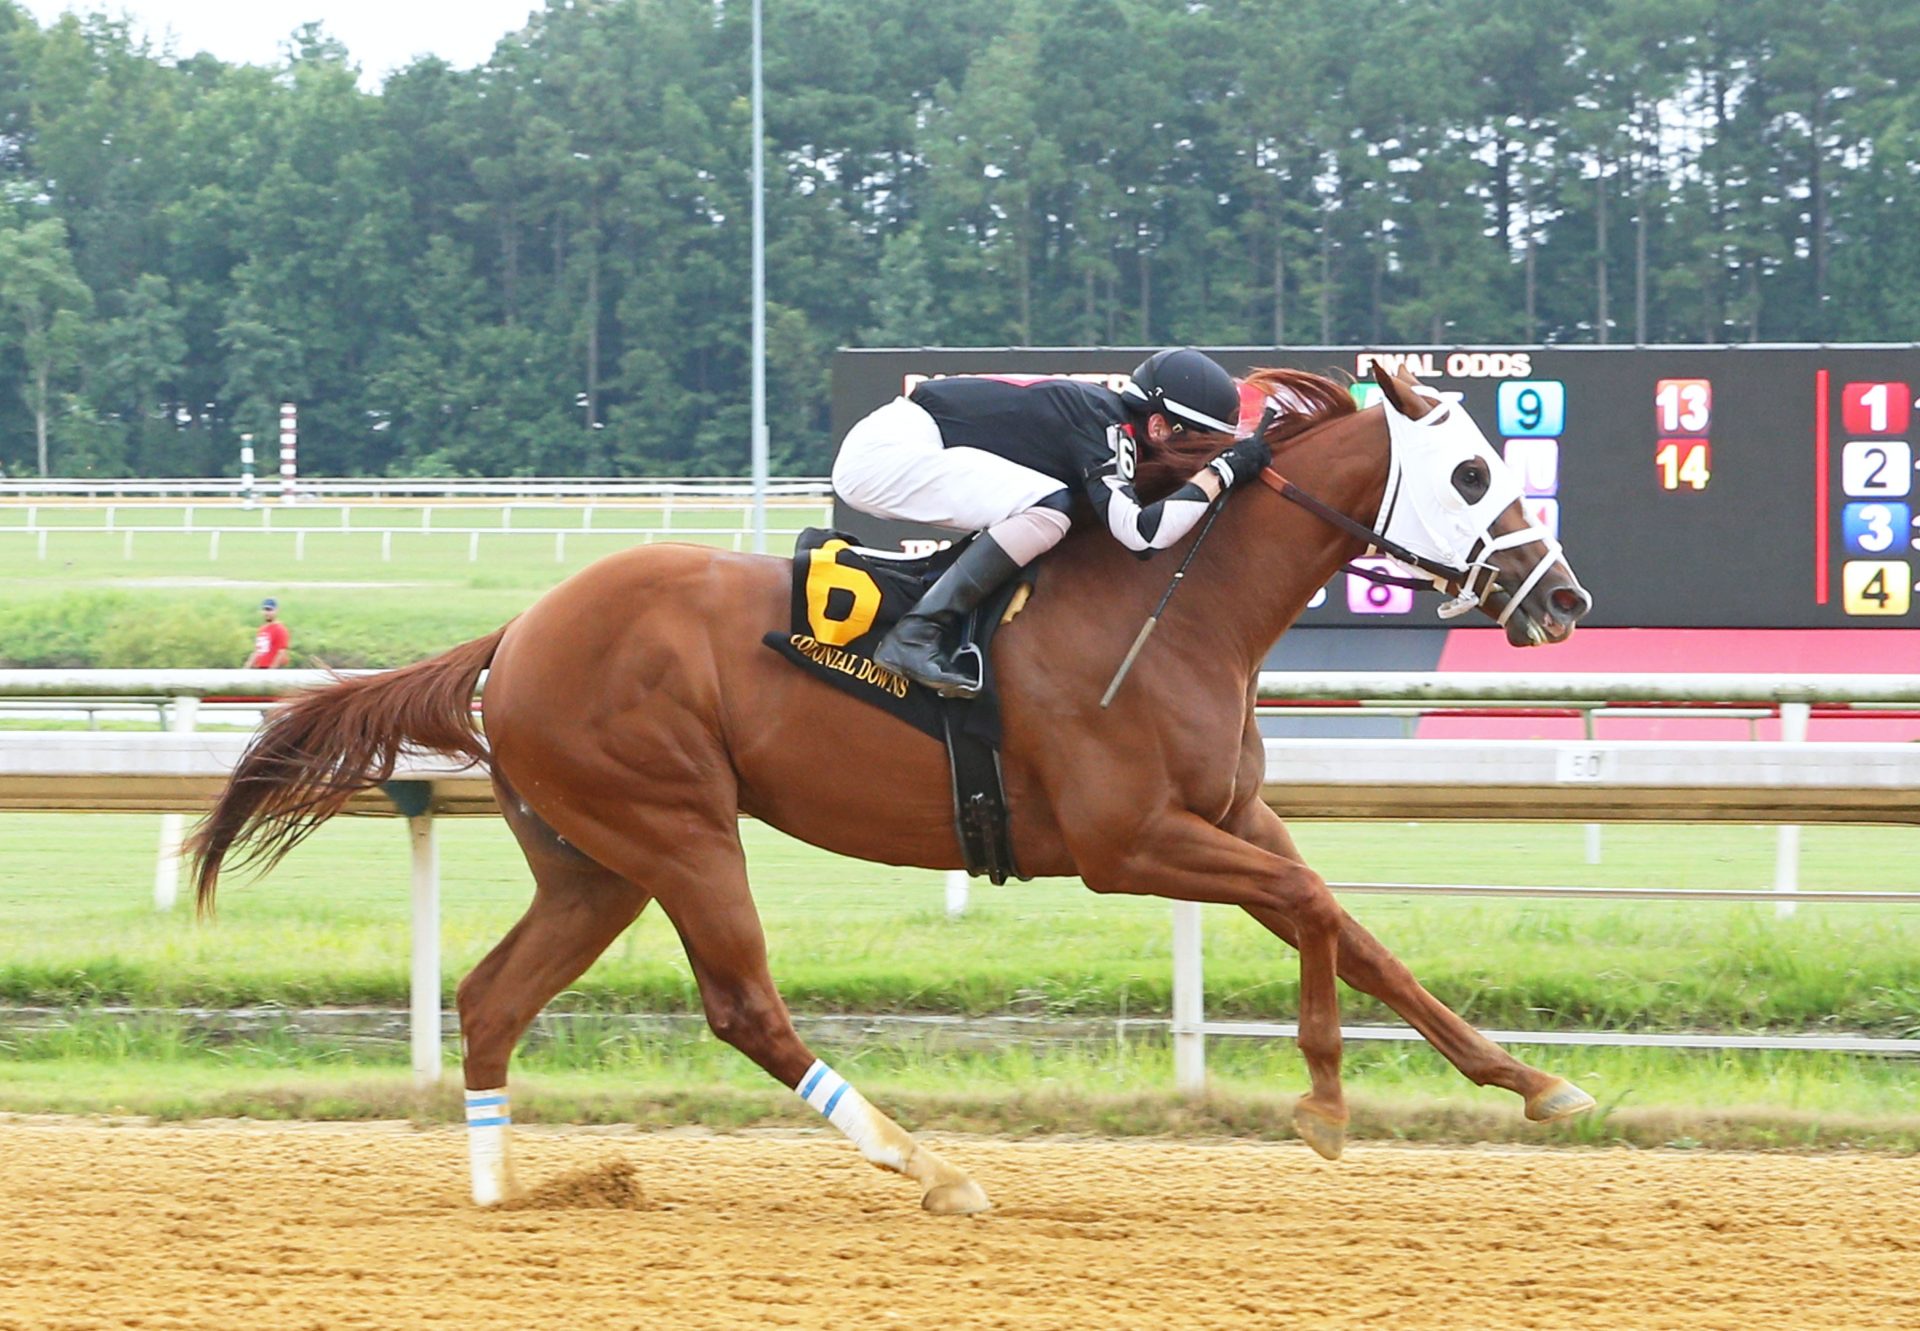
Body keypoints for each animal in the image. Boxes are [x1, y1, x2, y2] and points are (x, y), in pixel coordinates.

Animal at [191, 363, 1589, 1213]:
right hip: (679, 828)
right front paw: (1325, 1101)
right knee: (744, 1006)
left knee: (492, 996)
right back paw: (924, 1161)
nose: (1562, 597)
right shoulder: (1130, 839)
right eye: (1472, 474)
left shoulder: (1228, 816)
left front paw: (1531, 1083)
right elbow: (1310, 911)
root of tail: (516, 632)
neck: (1176, 601)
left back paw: (496, 1193)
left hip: (595, 863)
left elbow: (1350, 925)